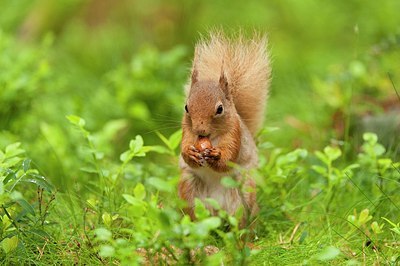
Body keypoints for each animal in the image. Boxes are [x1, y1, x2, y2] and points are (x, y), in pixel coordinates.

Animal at [179, 30, 270, 227]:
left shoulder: (235, 133)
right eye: (186, 107)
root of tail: (216, 210)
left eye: (219, 109)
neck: (211, 138)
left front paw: (216, 156)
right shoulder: (187, 131)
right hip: (188, 188)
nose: (200, 131)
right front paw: (190, 153)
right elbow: (184, 150)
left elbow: (228, 158)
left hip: (244, 193)